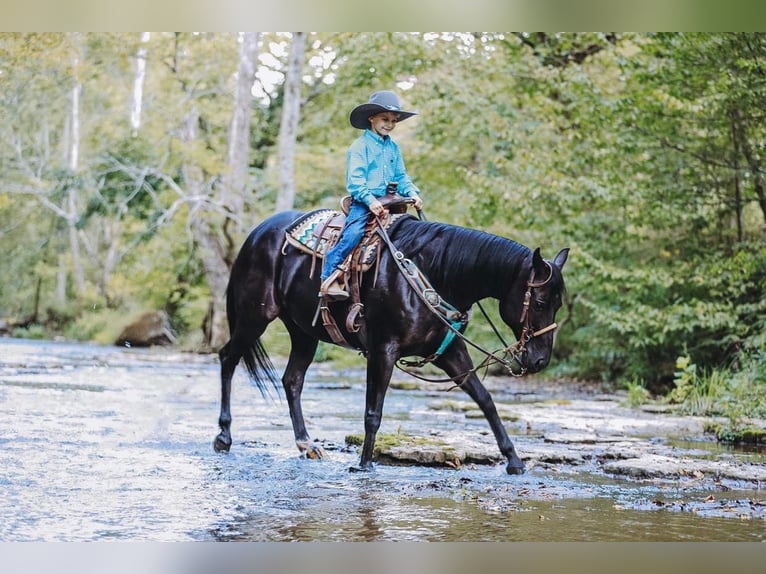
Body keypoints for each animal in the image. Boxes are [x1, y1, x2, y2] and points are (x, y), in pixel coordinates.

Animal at [213, 209, 568, 474]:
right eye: (539, 303)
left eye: (558, 304)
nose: (539, 360)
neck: (432, 273)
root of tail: (256, 234)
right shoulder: (383, 350)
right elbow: (374, 411)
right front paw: (364, 464)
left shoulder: (450, 352)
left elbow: (485, 399)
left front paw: (514, 460)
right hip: (254, 318)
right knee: (228, 358)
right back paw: (224, 436)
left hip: (303, 332)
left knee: (292, 380)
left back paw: (307, 444)